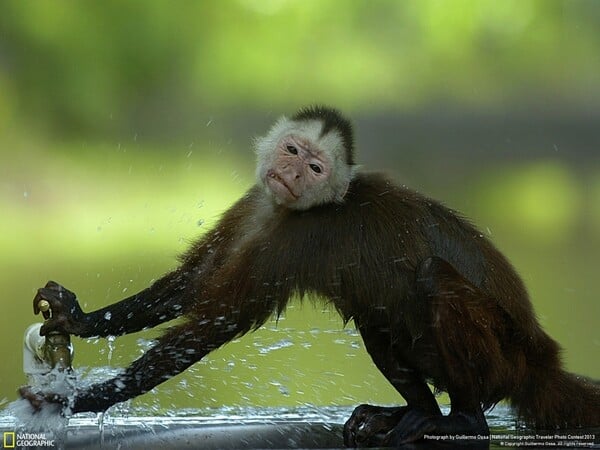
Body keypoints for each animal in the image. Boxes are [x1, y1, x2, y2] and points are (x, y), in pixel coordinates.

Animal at [22, 105, 600, 446]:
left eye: (316, 168)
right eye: (293, 151)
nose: (293, 173)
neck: (289, 208)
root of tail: (541, 359)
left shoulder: (298, 238)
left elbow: (211, 322)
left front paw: (76, 400)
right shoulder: (256, 203)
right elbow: (192, 284)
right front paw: (79, 319)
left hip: (504, 357)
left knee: (433, 279)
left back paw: (460, 419)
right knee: (376, 316)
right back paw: (407, 413)